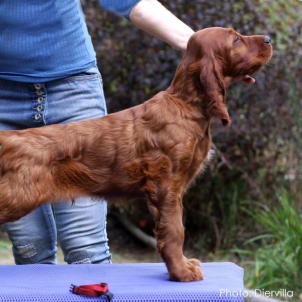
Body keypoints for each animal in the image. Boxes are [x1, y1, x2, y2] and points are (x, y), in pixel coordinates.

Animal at [0, 27, 272, 280]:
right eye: (235, 39)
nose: (269, 39)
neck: (186, 105)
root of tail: (12, 138)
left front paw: (183, 266)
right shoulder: (166, 186)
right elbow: (175, 231)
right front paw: (181, 272)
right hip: (18, 196)